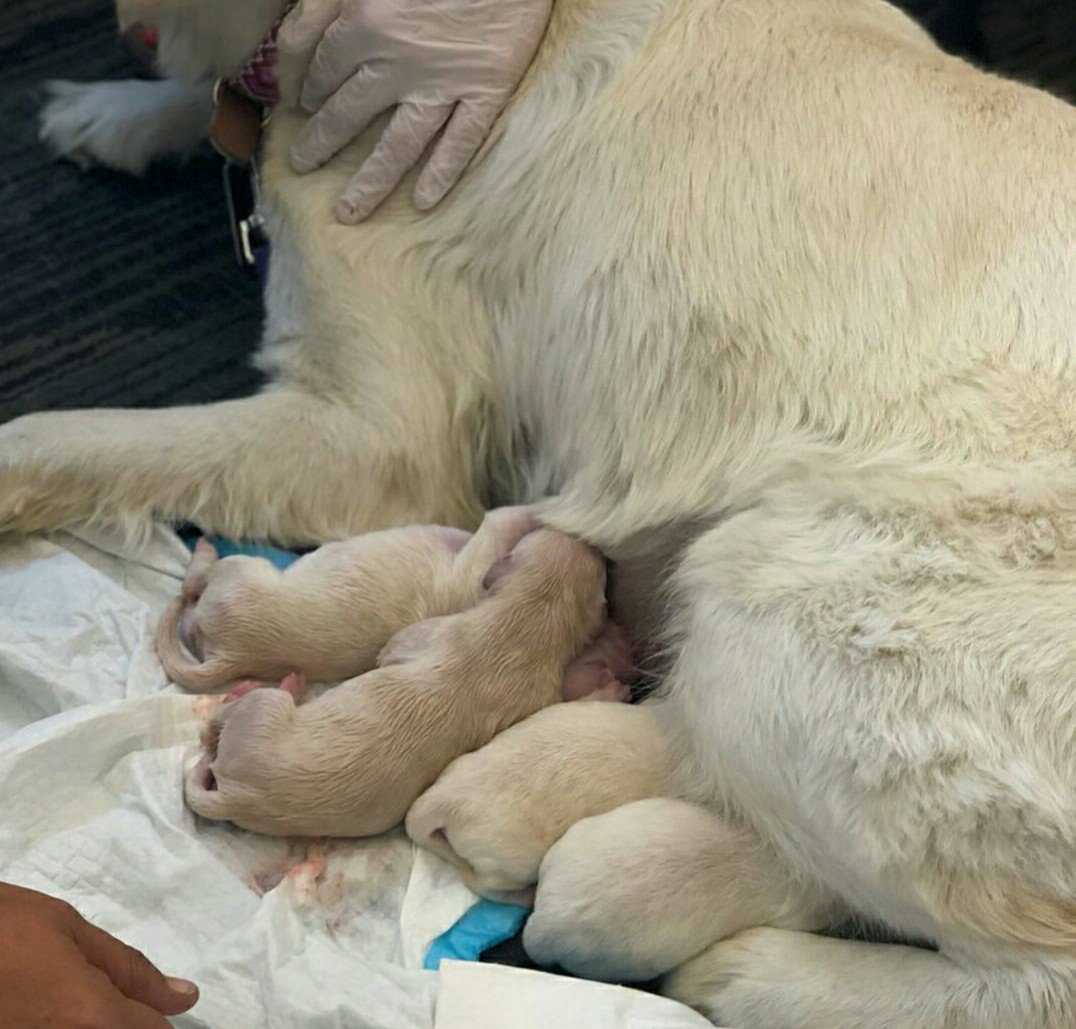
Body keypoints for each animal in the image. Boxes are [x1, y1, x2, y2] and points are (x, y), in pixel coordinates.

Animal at [156, 505, 542, 693]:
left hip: (242, 572)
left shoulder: (469, 565)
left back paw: (204, 549)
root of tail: (231, 657)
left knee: (194, 584)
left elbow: (499, 524)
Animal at [185, 527, 615, 839]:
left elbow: (390, 651)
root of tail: (235, 799)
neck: (530, 625)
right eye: (600, 576)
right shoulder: (538, 691)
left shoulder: (433, 632)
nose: (594, 545)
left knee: (224, 708)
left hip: (260, 693)